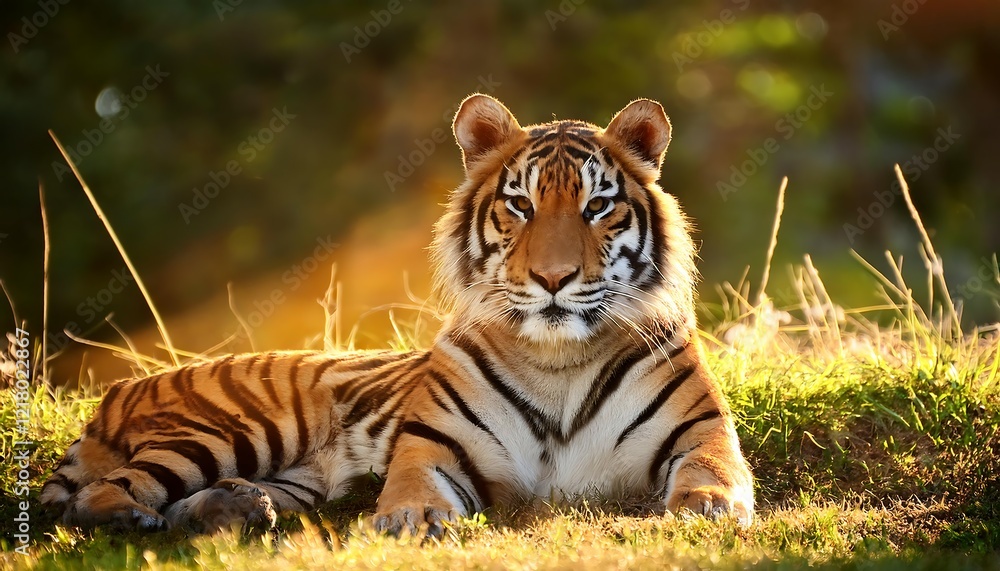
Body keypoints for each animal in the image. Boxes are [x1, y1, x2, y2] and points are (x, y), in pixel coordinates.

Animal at [40, 94, 754, 536]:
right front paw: (409, 520)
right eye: (520, 205)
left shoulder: (700, 431)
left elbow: (712, 471)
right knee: (97, 495)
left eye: (596, 206)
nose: (553, 279)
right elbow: (413, 486)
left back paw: (235, 509)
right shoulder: (433, 445)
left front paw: (710, 508)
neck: (559, 360)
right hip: (235, 429)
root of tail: (119, 389)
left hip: (288, 474)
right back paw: (137, 516)